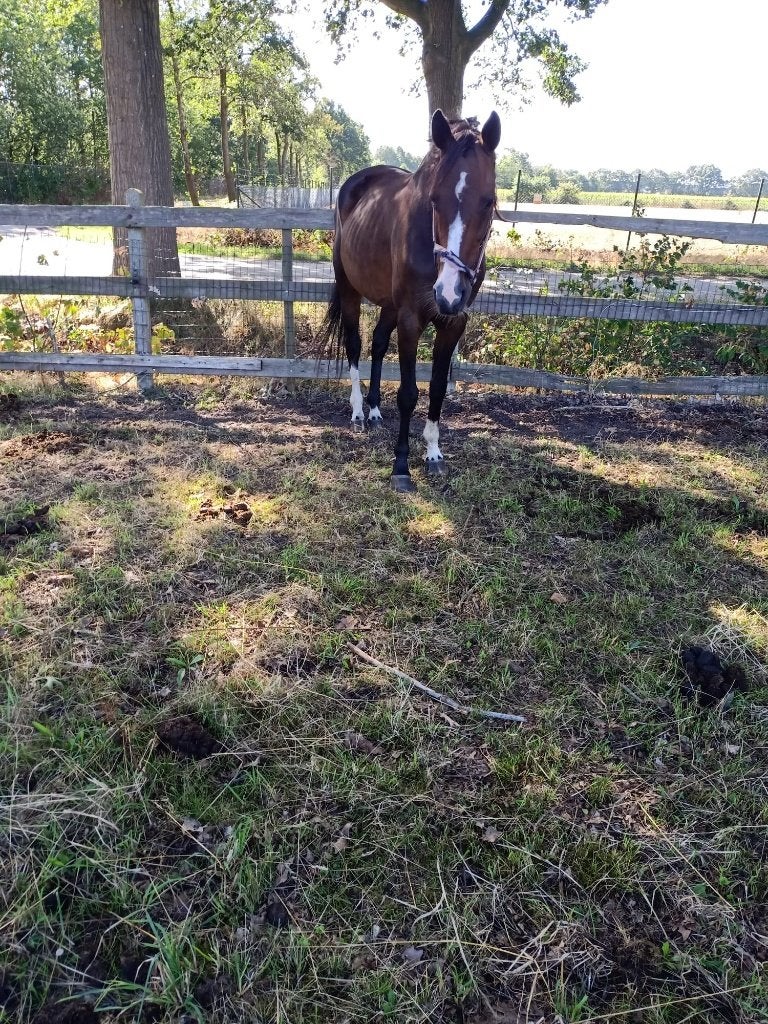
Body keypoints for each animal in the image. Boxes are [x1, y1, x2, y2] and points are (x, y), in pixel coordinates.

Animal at [319, 109, 501, 492]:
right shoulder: (411, 320)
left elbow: (437, 389)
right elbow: (408, 393)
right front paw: (401, 466)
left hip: (389, 304)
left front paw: (433, 453)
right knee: (355, 345)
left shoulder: (453, 322)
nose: (448, 293)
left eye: (489, 201)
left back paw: (374, 411)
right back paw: (358, 412)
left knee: (377, 343)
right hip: (350, 290)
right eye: (434, 200)